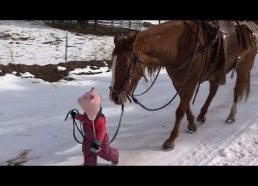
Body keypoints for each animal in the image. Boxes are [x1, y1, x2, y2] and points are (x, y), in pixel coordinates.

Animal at [108, 20, 256, 151]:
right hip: (216, 74)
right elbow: (185, 105)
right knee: (213, 92)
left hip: (243, 67)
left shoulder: (191, 82)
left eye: (125, 64)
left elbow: (180, 110)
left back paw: (231, 116)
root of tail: (251, 29)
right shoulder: (178, 82)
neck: (179, 46)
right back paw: (202, 115)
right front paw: (192, 125)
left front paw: (171, 140)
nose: (114, 97)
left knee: (237, 91)